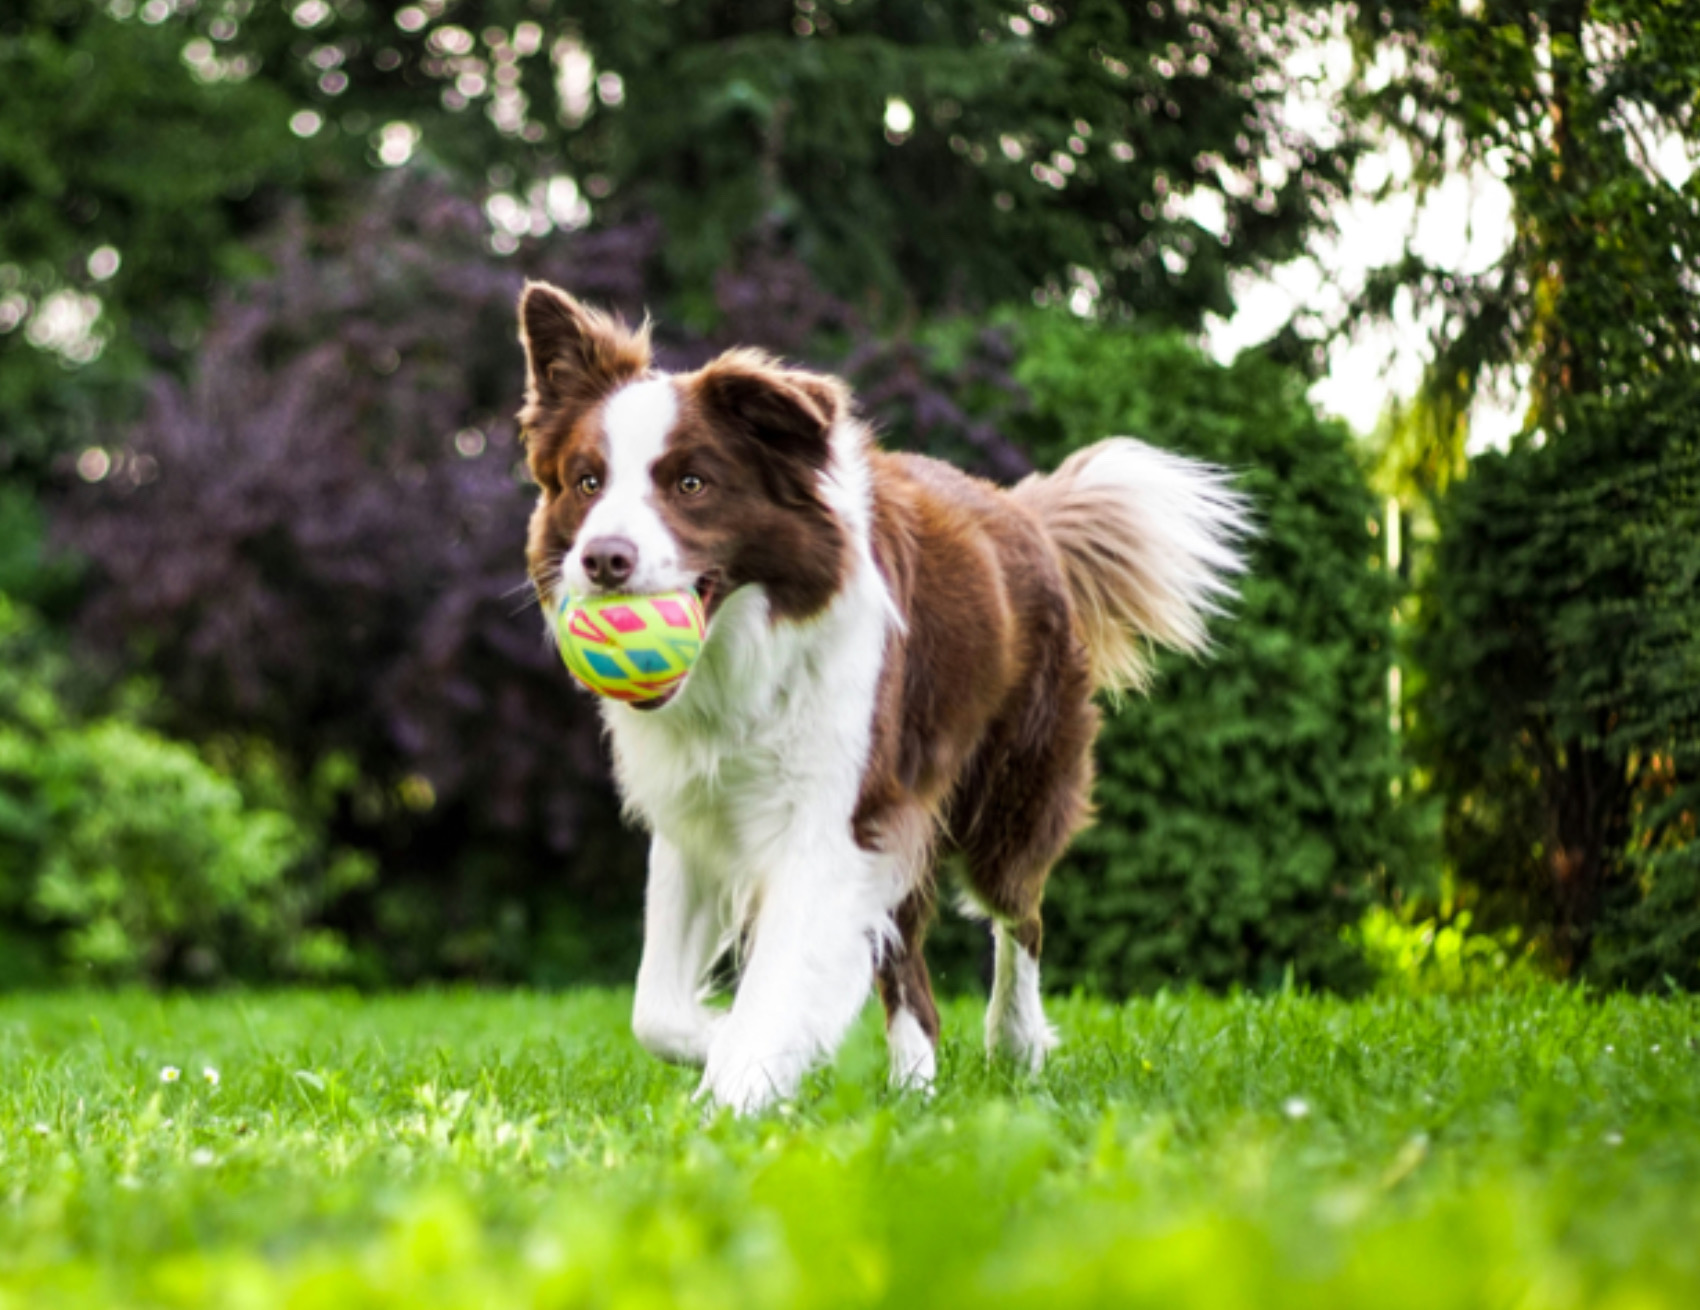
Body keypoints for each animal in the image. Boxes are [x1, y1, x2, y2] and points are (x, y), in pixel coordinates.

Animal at [516, 282, 1251, 1114]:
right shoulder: (699, 815)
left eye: (691, 484)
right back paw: (915, 1088)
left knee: (1019, 915)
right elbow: (656, 1010)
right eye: (587, 482)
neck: (742, 657)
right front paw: (730, 1043)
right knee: (911, 973)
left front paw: (738, 1087)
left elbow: (777, 980)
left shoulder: (836, 817)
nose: (604, 559)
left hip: (1008, 793)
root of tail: (1023, 511)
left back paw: (1015, 1043)